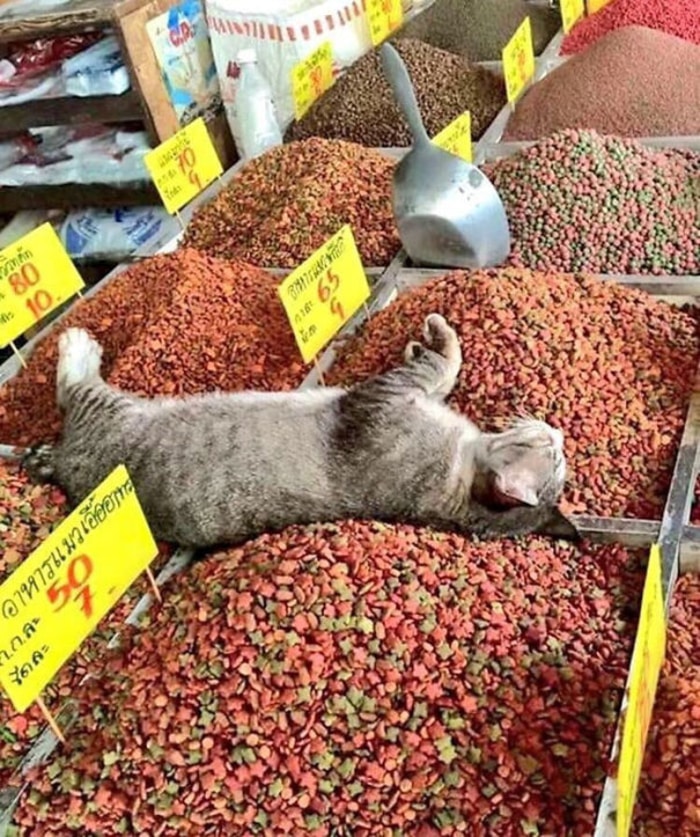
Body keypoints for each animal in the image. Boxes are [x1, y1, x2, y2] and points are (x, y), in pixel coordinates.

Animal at [24, 316, 576, 548]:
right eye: (552, 450)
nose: (558, 433)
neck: (454, 489)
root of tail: (63, 466)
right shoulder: (399, 395)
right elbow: (442, 366)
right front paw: (429, 343)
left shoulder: (382, 400)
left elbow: (443, 360)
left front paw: (437, 336)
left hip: (110, 415)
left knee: (73, 387)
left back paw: (76, 345)